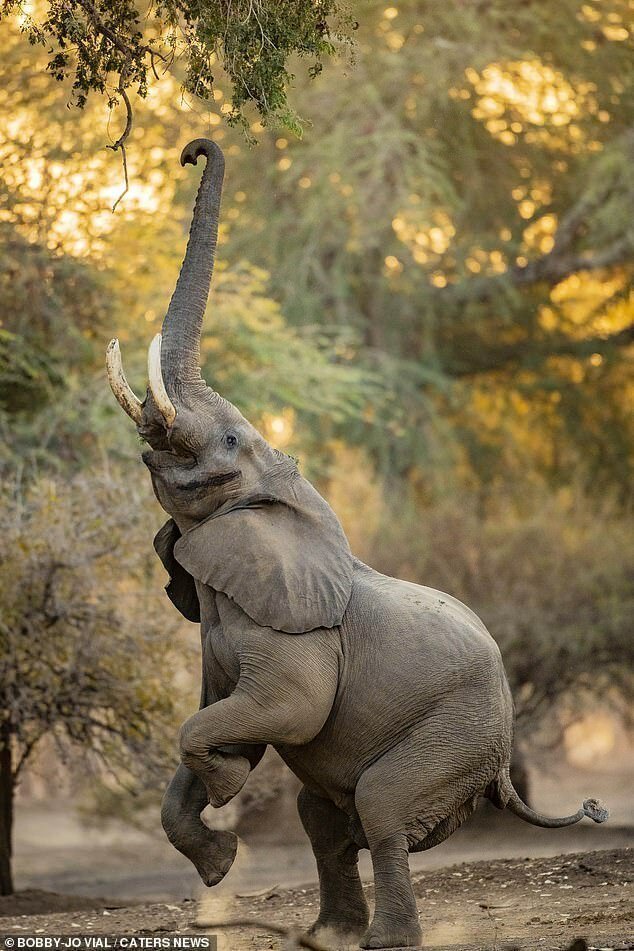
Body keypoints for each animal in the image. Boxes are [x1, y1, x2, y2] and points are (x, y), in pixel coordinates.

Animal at [105, 141, 608, 951]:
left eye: (230, 440)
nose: (191, 151)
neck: (287, 493)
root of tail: (501, 760)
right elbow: (212, 722)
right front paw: (218, 858)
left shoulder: (297, 637)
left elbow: (279, 711)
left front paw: (226, 784)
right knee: (323, 819)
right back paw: (326, 935)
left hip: (455, 732)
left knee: (379, 806)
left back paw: (385, 940)